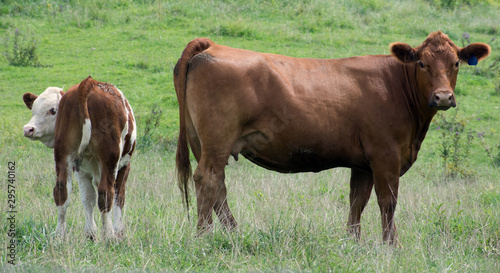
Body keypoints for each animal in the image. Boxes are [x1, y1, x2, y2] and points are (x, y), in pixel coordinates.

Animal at [22, 75, 136, 239]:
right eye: (33, 110)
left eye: (52, 110)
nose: (28, 129)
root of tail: (88, 83)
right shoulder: (124, 165)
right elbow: (118, 197)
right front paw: (118, 232)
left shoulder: (80, 169)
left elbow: (87, 198)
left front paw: (90, 234)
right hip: (110, 160)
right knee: (106, 195)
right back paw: (109, 237)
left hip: (63, 156)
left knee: (62, 192)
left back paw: (60, 237)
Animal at [174, 31, 490, 242]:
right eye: (422, 63)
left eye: (456, 63)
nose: (443, 97)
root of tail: (212, 46)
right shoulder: (386, 157)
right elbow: (387, 202)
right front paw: (391, 245)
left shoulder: (363, 164)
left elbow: (357, 202)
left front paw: (353, 242)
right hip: (217, 140)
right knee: (207, 180)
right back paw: (204, 237)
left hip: (204, 143)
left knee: (218, 186)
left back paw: (233, 233)